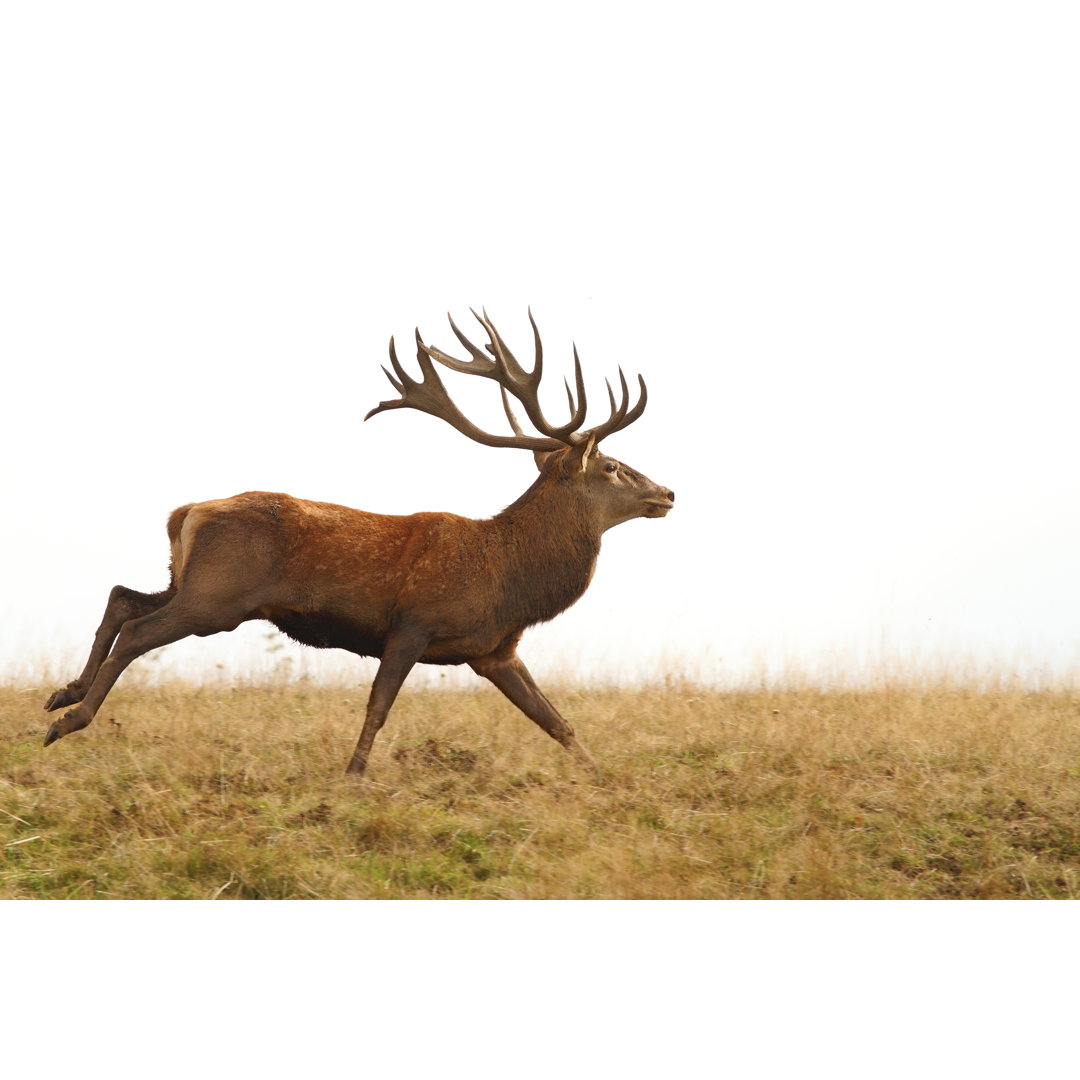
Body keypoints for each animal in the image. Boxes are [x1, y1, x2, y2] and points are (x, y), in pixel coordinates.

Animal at [48, 308, 673, 773]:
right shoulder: (413, 622)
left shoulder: (495, 651)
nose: (667, 493)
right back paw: (67, 721)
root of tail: (187, 512)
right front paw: (352, 777)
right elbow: (377, 706)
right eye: (613, 467)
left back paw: (65, 692)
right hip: (216, 598)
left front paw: (604, 780)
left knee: (122, 596)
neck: (506, 580)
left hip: (190, 582)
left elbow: (557, 722)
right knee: (137, 629)